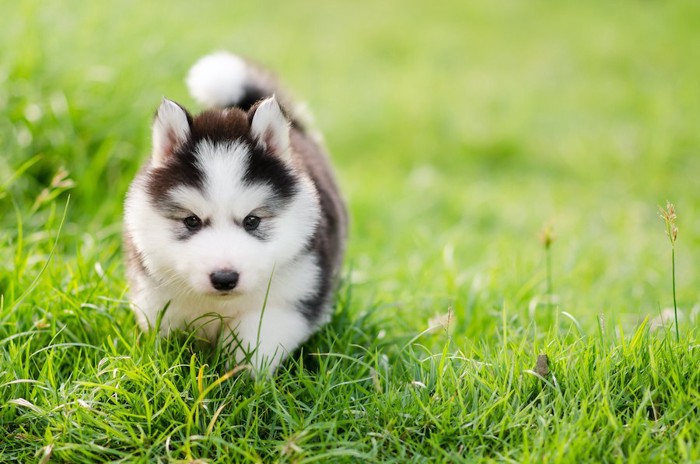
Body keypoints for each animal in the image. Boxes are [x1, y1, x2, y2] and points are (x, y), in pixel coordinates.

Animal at [125, 52, 348, 374]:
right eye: (191, 221)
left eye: (252, 221)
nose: (224, 278)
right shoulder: (156, 298)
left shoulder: (292, 297)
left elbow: (254, 341)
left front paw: (240, 377)